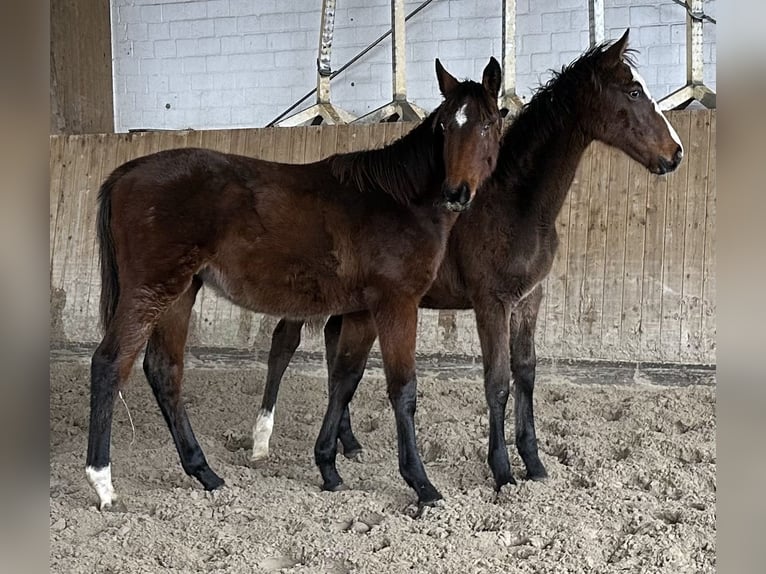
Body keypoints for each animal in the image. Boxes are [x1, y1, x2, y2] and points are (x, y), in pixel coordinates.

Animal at [85, 57, 503, 510]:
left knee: (165, 371)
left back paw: (205, 473)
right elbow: (403, 389)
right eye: (445, 125)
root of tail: (126, 172)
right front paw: (422, 484)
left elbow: (344, 380)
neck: (398, 200)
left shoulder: (361, 311)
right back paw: (103, 482)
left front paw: (329, 468)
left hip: (180, 292)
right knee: (109, 364)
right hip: (150, 290)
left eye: (488, 122)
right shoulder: (396, 303)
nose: (456, 192)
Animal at [251, 30, 684, 493]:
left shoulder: (528, 300)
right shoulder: (491, 303)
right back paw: (261, 440)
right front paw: (502, 472)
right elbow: (497, 382)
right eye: (634, 91)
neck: (515, 204)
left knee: (337, 352)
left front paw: (535, 464)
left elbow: (525, 374)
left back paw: (348, 444)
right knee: (284, 343)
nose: (675, 153)